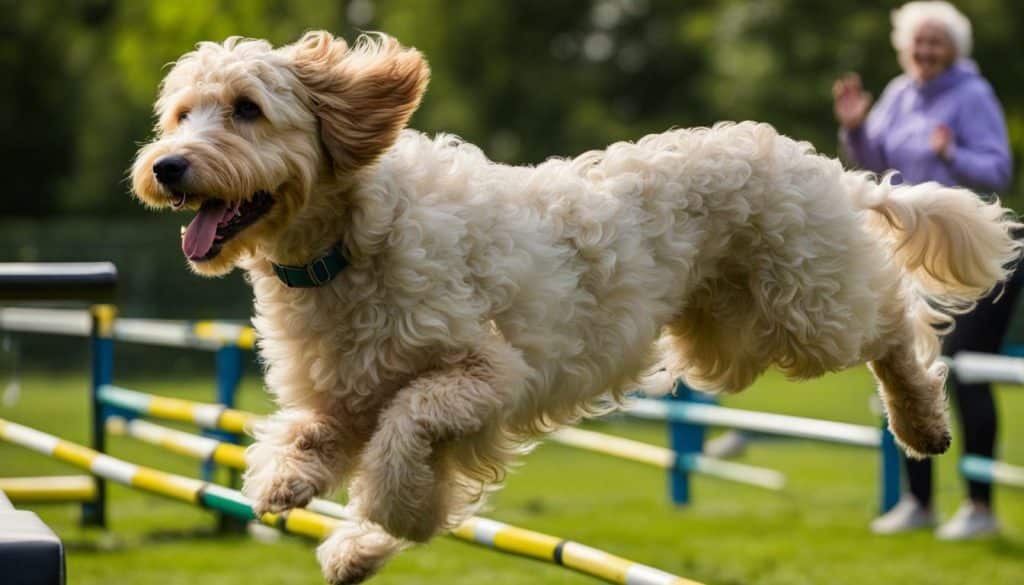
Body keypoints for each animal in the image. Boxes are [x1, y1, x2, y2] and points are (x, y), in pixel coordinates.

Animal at [134, 32, 1015, 585]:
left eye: (247, 107)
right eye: (179, 114)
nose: (167, 166)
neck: (344, 246)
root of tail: (825, 166)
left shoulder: (485, 375)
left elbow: (401, 444)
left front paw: (376, 518)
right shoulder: (342, 396)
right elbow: (322, 444)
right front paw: (310, 502)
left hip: (805, 310)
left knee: (897, 320)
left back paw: (923, 421)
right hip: (725, 344)